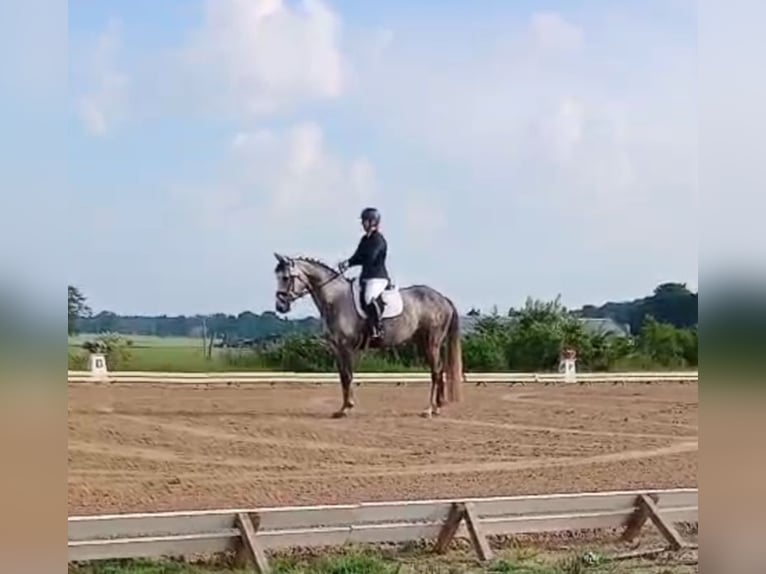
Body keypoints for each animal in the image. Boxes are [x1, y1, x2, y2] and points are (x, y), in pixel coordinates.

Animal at [272, 253, 464, 418]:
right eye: (277, 277)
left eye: (286, 278)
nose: (280, 306)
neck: (336, 299)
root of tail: (443, 299)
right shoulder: (336, 347)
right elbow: (343, 376)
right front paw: (343, 408)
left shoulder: (346, 346)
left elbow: (348, 375)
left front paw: (347, 408)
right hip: (423, 342)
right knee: (439, 370)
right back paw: (437, 407)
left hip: (432, 342)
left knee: (436, 372)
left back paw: (429, 409)